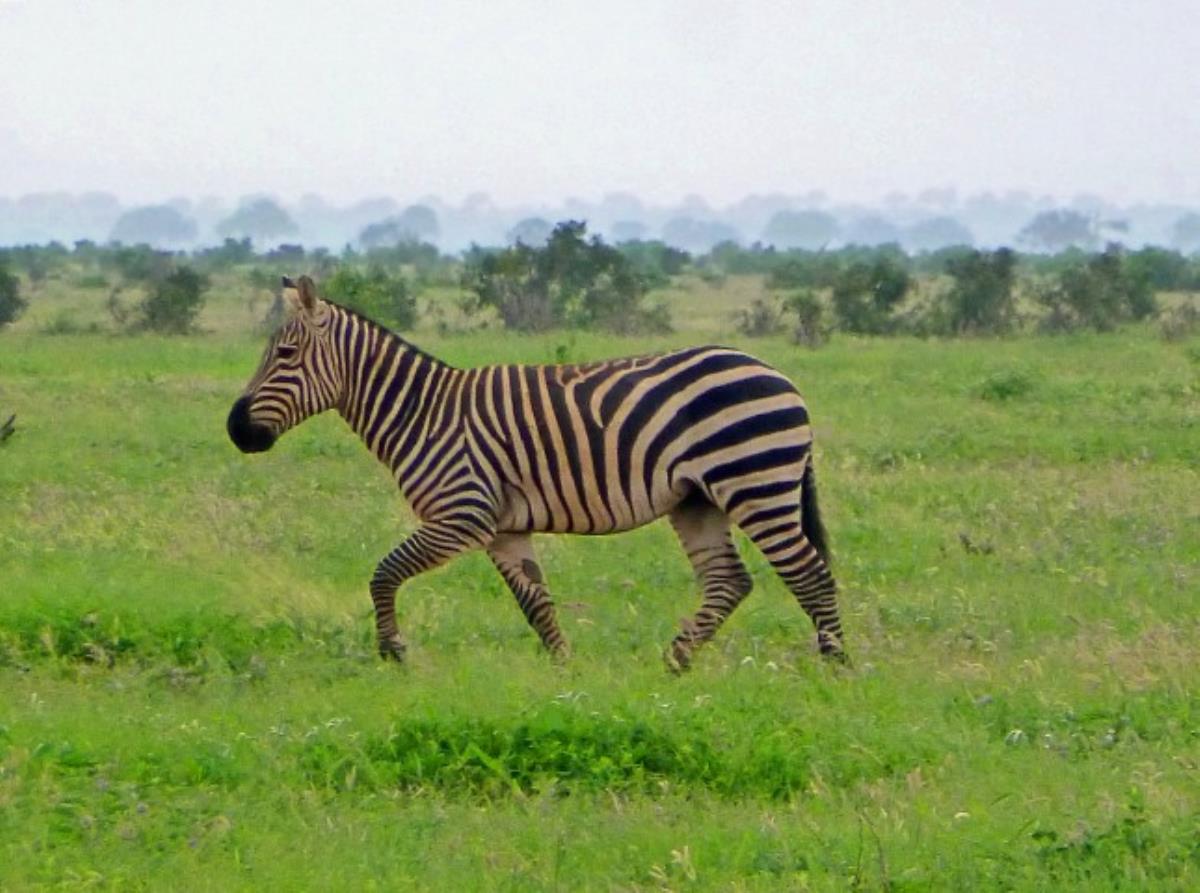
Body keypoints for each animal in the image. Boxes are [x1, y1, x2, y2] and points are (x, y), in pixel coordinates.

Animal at [227, 275, 844, 669]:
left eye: (285, 355)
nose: (235, 429)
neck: (420, 413)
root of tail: (781, 376)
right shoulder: (503, 527)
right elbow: (536, 603)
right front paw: (564, 672)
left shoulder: (462, 515)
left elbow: (383, 573)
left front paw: (392, 651)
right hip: (698, 499)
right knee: (729, 581)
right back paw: (673, 662)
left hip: (755, 483)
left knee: (809, 573)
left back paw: (835, 665)